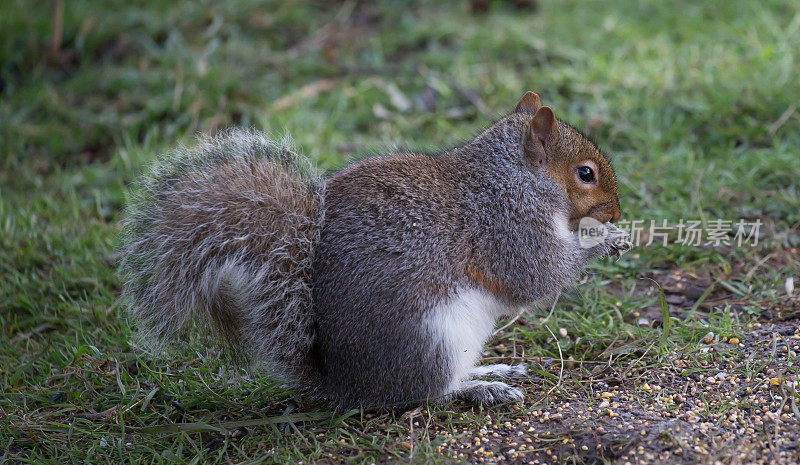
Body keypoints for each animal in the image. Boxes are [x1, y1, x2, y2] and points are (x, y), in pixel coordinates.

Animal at [119, 91, 632, 410]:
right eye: (585, 174)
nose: (616, 211)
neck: (512, 178)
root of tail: (342, 383)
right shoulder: (506, 225)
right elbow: (536, 276)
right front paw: (603, 240)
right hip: (432, 339)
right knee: (421, 394)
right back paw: (482, 389)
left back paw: (494, 369)